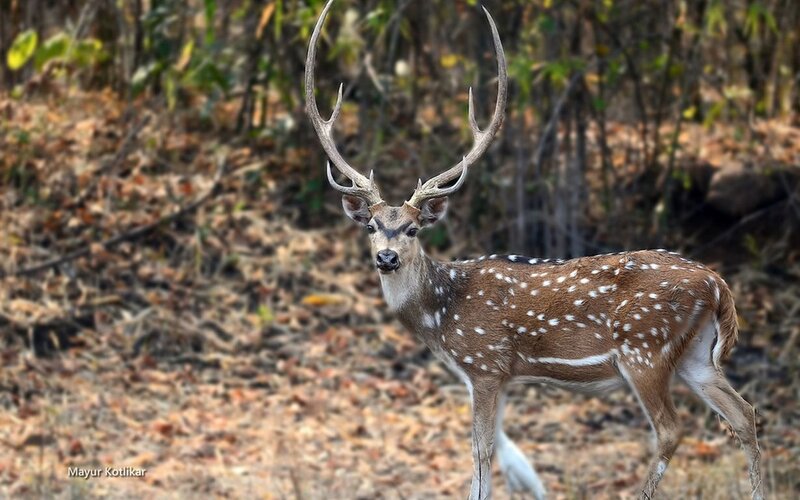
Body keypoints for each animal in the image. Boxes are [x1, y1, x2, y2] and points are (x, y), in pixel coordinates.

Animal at [305, 1, 764, 499]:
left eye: (412, 229)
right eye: (372, 225)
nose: (385, 258)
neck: (441, 316)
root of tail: (718, 285)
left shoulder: (485, 364)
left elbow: (481, 452)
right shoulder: (494, 374)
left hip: (646, 348)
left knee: (670, 429)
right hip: (696, 354)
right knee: (744, 413)